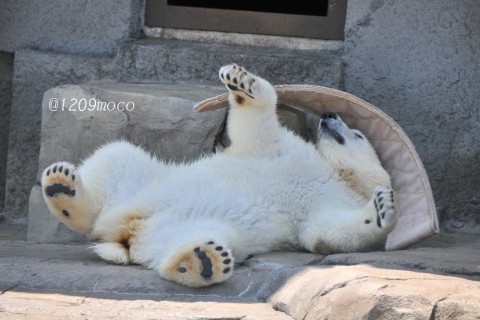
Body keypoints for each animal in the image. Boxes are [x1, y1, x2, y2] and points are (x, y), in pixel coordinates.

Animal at [41, 65, 396, 288]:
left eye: (358, 135)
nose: (329, 114)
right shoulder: (286, 152)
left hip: (191, 228)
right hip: (140, 182)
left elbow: (323, 233)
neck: (334, 174)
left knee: (185, 240)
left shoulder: (322, 204)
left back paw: (199, 261)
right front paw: (242, 82)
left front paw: (381, 209)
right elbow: (258, 130)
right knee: (115, 158)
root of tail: (125, 231)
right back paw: (63, 189)